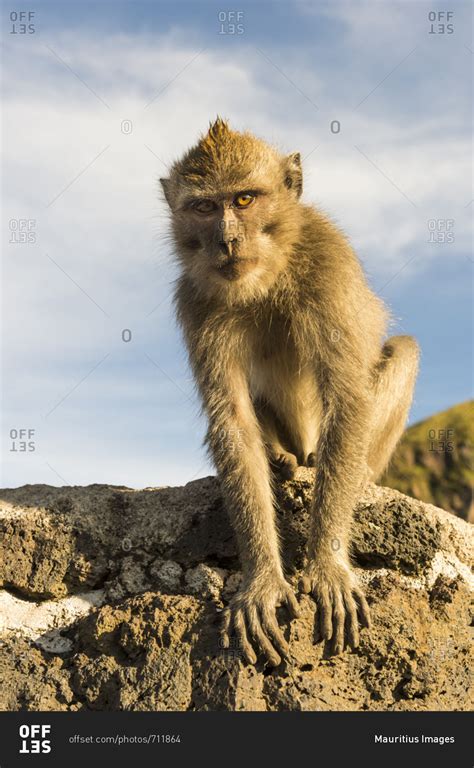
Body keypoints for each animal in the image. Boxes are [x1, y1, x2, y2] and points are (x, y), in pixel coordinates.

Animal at [160, 117, 418, 664]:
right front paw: (261, 578)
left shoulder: (328, 262)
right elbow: (232, 420)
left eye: (244, 200)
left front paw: (327, 564)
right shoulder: (195, 300)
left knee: (403, 351)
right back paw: (280, 456)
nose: (227, 240)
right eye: (204, 207)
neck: (268, 272)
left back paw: (343, 469)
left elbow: (347, 398)